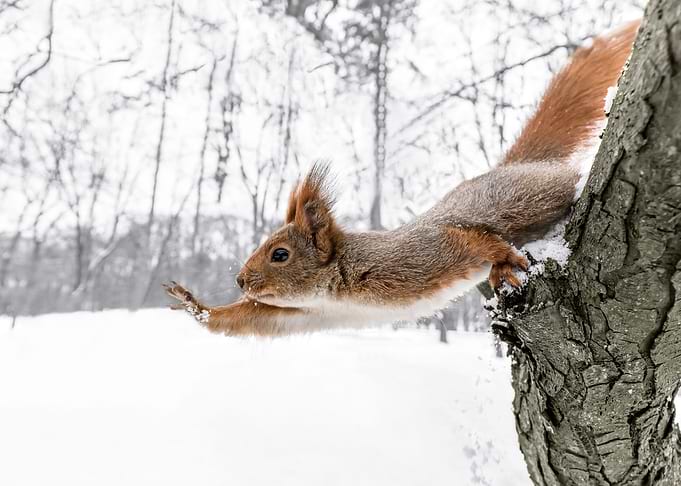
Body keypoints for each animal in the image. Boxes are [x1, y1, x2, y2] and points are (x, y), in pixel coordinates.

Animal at [165, 20, 639, 337]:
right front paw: (195, 306)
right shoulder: (297, 314)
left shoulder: (419, 257)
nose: (240, 282)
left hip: (532, 197)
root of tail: (517, 164)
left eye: (279, 254)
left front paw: (505, 258)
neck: (335, 283)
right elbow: (246, 321)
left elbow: (469, 241)